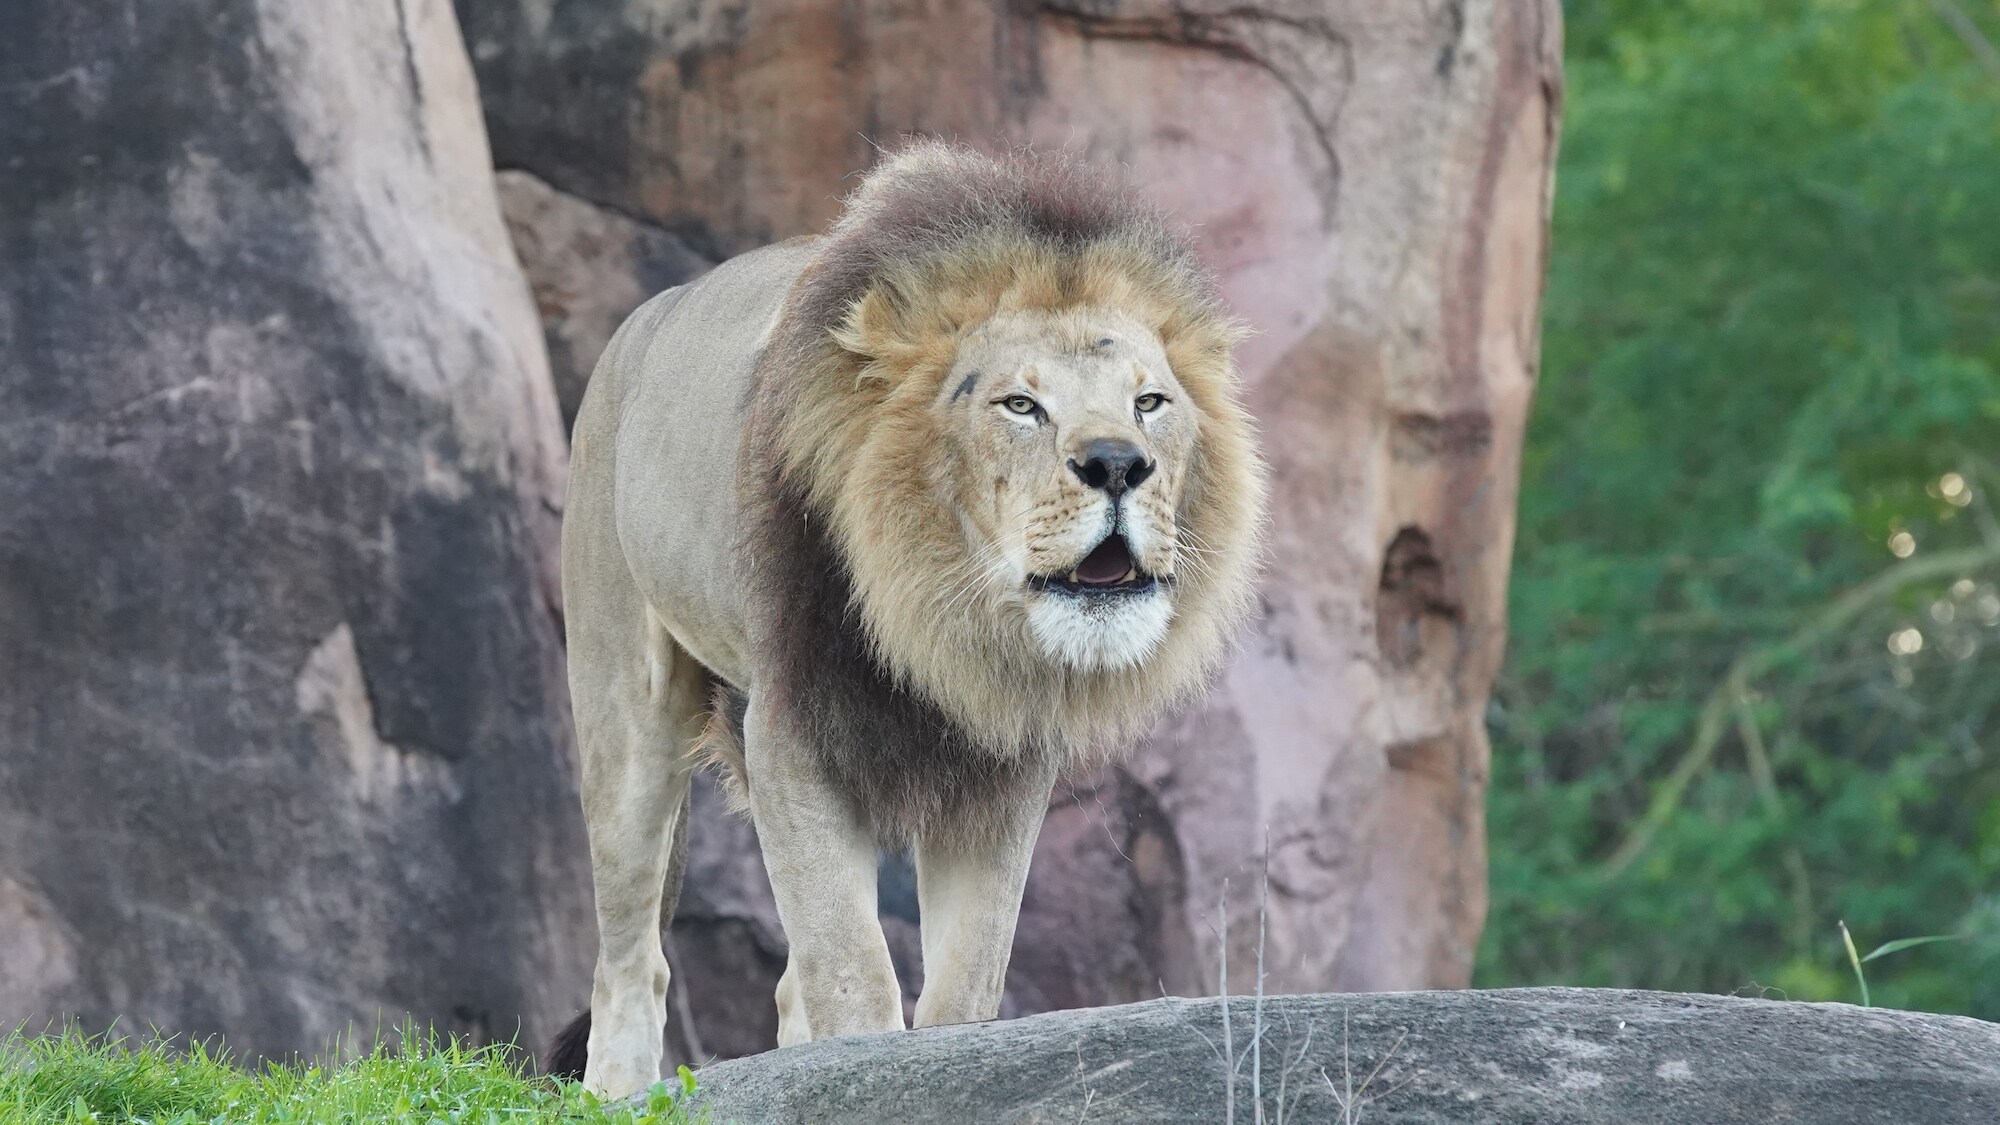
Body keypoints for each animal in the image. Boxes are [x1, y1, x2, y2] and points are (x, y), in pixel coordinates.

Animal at [548, 142, 1264, 1096]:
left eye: (1150, 402)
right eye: (1020, 405)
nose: (1119, 463)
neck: (945, 620)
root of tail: (641, 323)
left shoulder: (1005, 771)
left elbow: (964, 979)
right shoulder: (792, 731)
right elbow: (853, 965)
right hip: (626, 707)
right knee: (631, 957)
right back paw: (621, 1088)